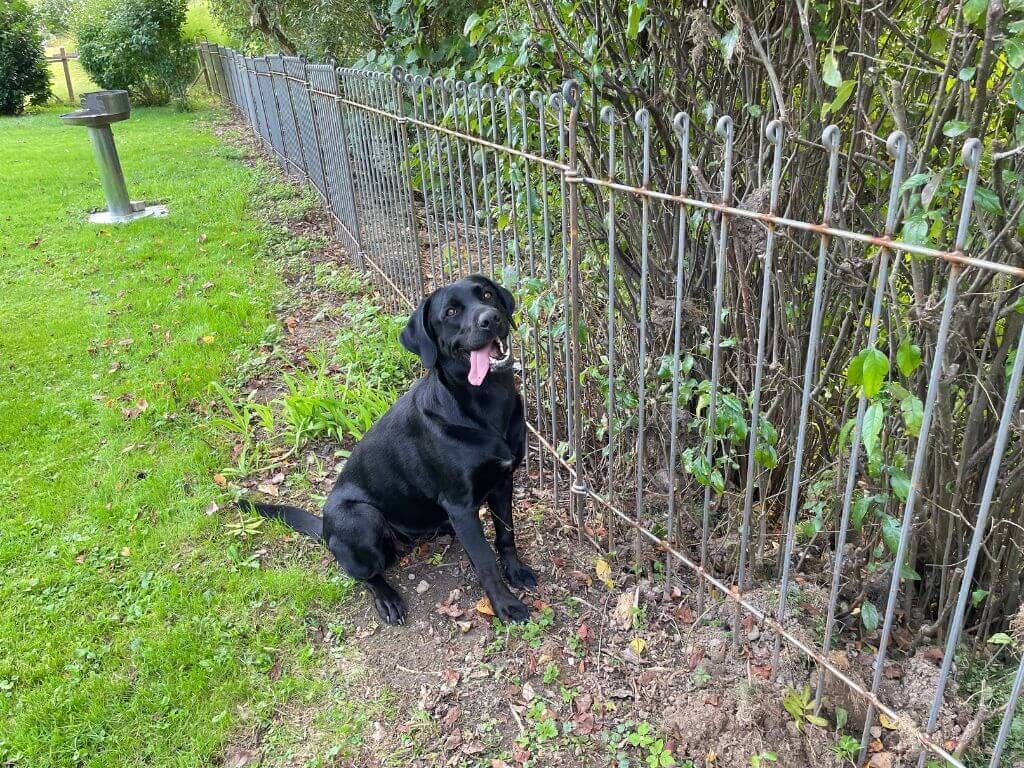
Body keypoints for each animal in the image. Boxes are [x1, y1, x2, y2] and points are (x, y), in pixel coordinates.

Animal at [247, 274, 536, 626]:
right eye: (451, 312)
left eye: (487, 295)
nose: (490, 318)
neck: (486, 404)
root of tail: (324, 528)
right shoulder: (461, 505)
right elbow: (484, 562)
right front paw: (505, 605)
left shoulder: (503, 481)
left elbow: (506, 534)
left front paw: (516, 571)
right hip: (361, 517)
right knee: (363, 573)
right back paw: (387, 598)